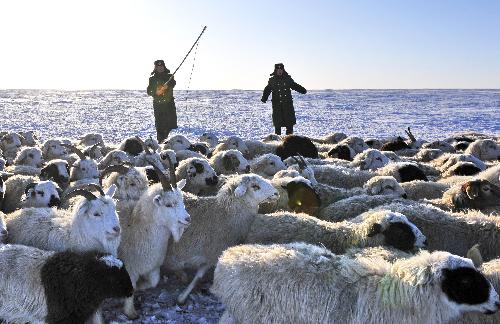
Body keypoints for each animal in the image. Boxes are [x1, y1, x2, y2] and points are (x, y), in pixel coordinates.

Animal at [118, 162, 190, 318]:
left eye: (182, 200)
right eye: (168, 205)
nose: (187, 219)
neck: (135, 226)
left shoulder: (153, 267)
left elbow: (154, 282)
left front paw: (141, 286)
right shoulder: (129, 268)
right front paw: (130, 312)